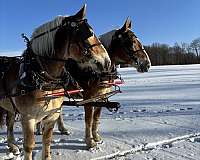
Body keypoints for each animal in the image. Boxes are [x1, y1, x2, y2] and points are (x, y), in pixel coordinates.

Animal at [0, 4, 111, 159]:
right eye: (89, 34)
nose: (107, 61)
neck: (42, 78)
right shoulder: (28, 118)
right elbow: (29, 146)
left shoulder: (52, 116)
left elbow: (47, 141)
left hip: (9, 106)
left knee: (9, 123)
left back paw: (12, 146)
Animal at [50, 17, 151, 148]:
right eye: (131, 42)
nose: (147, 64)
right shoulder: (89, 98)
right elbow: (88, 119)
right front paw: (89, 141)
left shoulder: (101, 96)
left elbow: (96, 118)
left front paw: (96, 137)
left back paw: (61, 129)